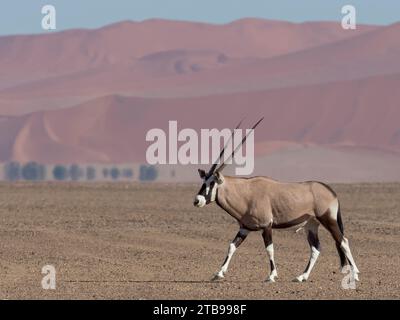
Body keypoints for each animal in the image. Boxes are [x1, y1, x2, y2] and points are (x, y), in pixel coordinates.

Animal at [194, 118, 360, 282]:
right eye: (204, 181)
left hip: (328, 220)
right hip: (311, 225)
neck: (246, 194)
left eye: (212, 183)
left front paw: (272, 275)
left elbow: (270, 249)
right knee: (316, 248)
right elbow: (231, 246)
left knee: (343, 241)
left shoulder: (266, 226)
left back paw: (355, 274)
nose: (197, 201)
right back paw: (302, 276)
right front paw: (218, 273)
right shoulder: (244, 228)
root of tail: (330, 191)